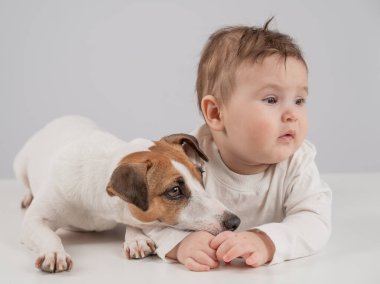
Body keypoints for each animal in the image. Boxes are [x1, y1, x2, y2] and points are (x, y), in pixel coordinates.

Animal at [14, 116, 240, 272]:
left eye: (200, 174)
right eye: (175, 190)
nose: (235, 222)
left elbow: (134, 223)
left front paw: (135, 238)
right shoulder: (34, 220)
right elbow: (47, 234)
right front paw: (53, 253)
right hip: (20, 164)